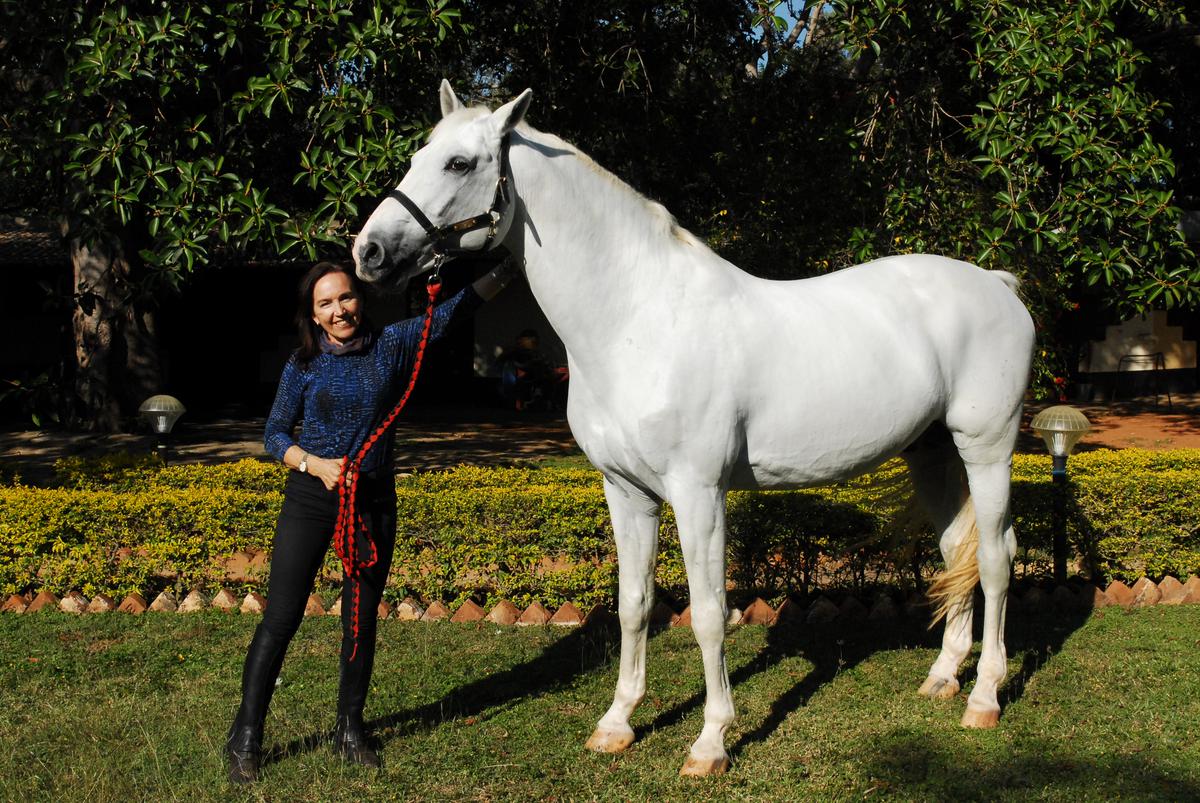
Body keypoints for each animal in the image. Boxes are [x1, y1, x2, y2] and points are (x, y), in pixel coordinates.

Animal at [350, 82, 1036, 777]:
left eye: (459, 163)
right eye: (420, 155)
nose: (367, 252)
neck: (638, 319)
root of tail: (996, 284)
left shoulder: (699, 493)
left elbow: (708, 614)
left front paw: (711, 742)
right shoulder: (626, 493)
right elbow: (634, 605)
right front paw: (617, 723)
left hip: (987, 450)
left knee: (997, 559)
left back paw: (983, 698)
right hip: (933, 453)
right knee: (957, 551)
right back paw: (943, 677)